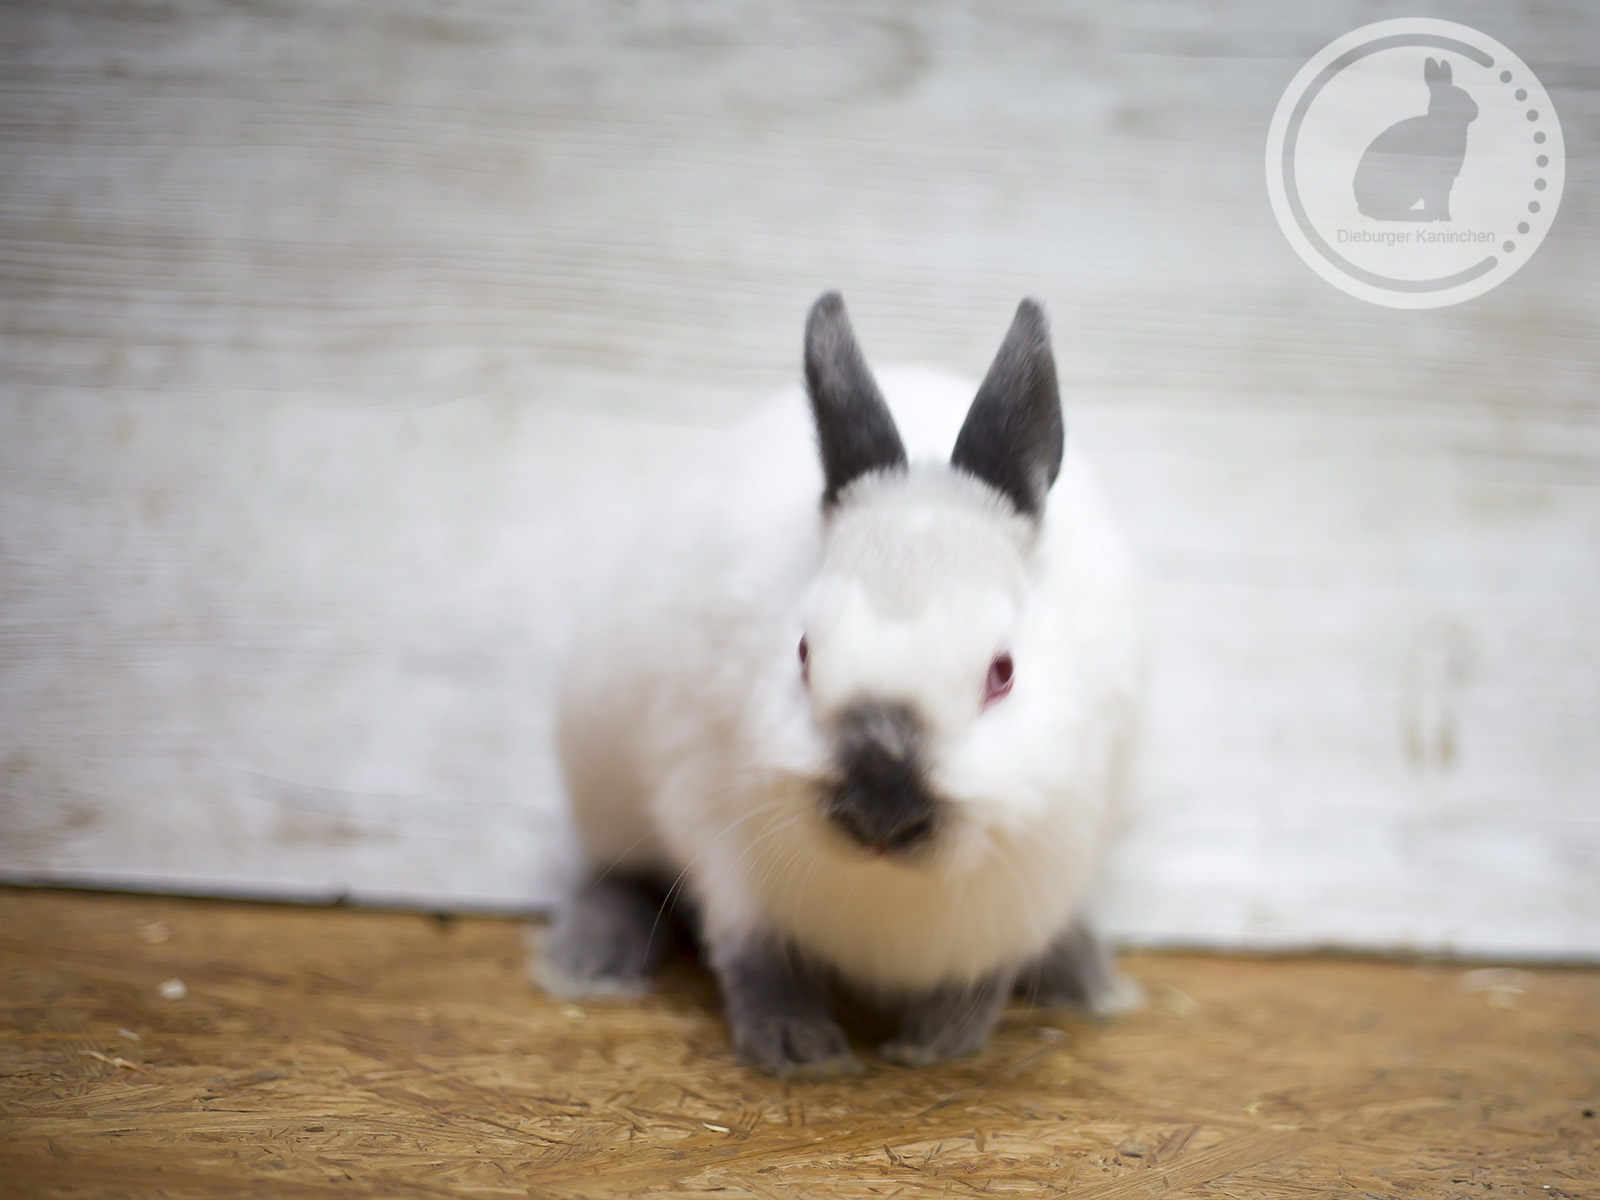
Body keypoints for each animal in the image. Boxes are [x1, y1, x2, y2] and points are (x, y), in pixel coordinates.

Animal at [536, 293, 1146, 1076]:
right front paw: (799, 1050)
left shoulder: (1038, 878)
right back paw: (590, 961)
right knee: (616, 872)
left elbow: (983, 978)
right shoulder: (718, 840)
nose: (881, 811)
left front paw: (936, 1044)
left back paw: (1088, 978)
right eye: (802, 652)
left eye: (1003, 672)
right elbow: (756, 955)